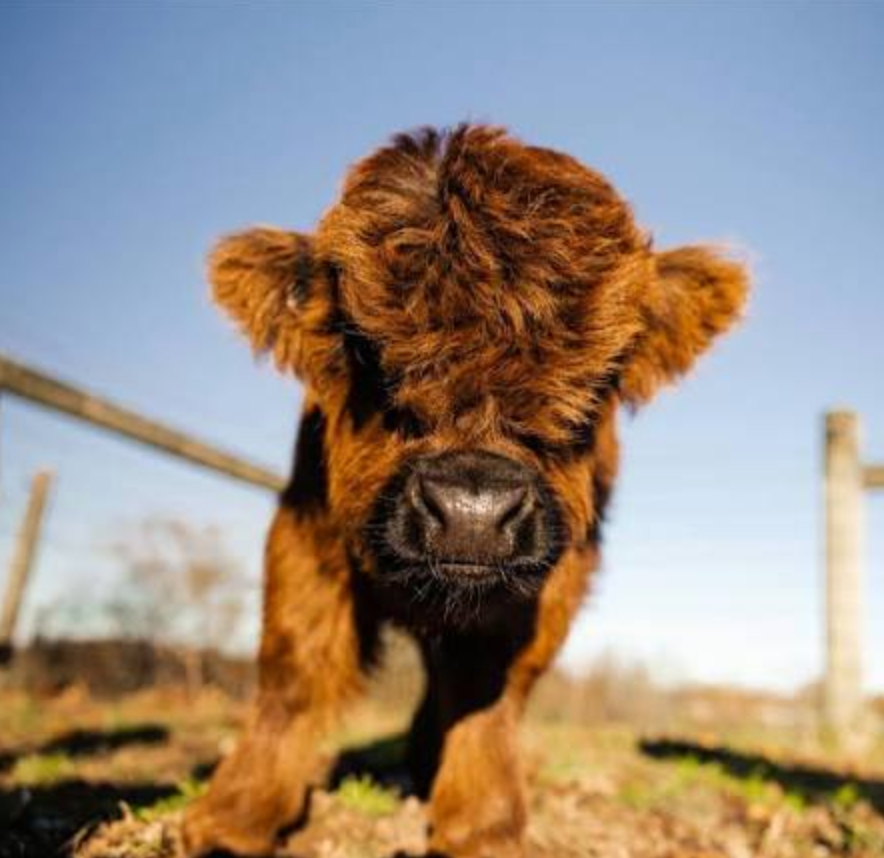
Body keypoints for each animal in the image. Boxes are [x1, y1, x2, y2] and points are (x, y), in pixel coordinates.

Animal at [182, 124, 749, 858]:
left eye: (599, 380)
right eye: (364, 351)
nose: (472, 510)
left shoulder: (550, 572)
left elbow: (488, 685)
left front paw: (482, 824)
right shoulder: (308, 525)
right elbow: (295, 667)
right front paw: (233, 818)